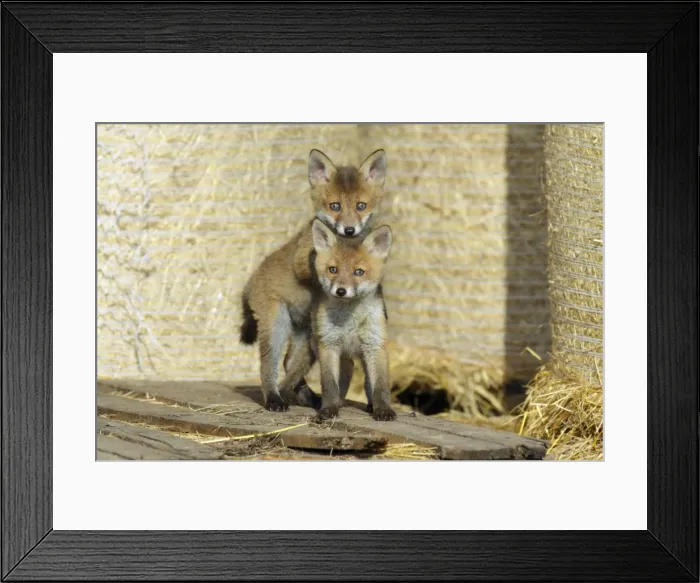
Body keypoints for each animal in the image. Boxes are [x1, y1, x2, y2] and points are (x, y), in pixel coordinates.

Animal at [239, 148, 388, 412]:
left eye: (361, 206)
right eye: (335, 206)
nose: (349, 230)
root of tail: (248, 286)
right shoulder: (303, 259)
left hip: (305, 336)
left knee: (290, 363)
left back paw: (307, 396)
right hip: (277, 325)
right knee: (269, 365)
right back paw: (275, 398)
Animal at [307, 218, 397, 422]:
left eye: (359, 272)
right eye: (333, 269)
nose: (341, 291)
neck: (350, 321)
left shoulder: (375, 344)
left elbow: (380, 385)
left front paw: (383, 409)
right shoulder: (329, 344)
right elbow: (329, 385)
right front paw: (328, 409)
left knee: (367, 382)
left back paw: (371, 405)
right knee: (346, 373)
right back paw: (339, 402)